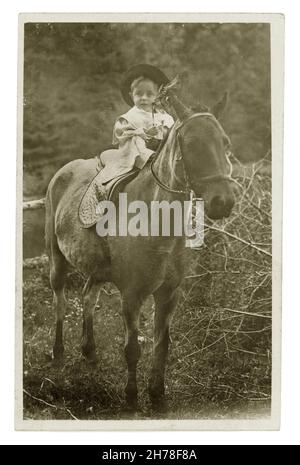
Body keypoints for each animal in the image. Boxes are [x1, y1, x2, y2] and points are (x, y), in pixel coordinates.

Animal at [44, 86, 234, 410]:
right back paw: (59, 354)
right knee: (60, 302)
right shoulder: (131, 295)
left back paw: (89, 352)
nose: (223, 201)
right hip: (57, 259)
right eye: (191, 144)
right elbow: (132, 348)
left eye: (224, 142)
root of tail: (63, 172)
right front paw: (131, 398)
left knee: (87, 298)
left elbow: (162, 344)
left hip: (96, 270)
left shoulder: (169, 294)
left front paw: (157, 395)